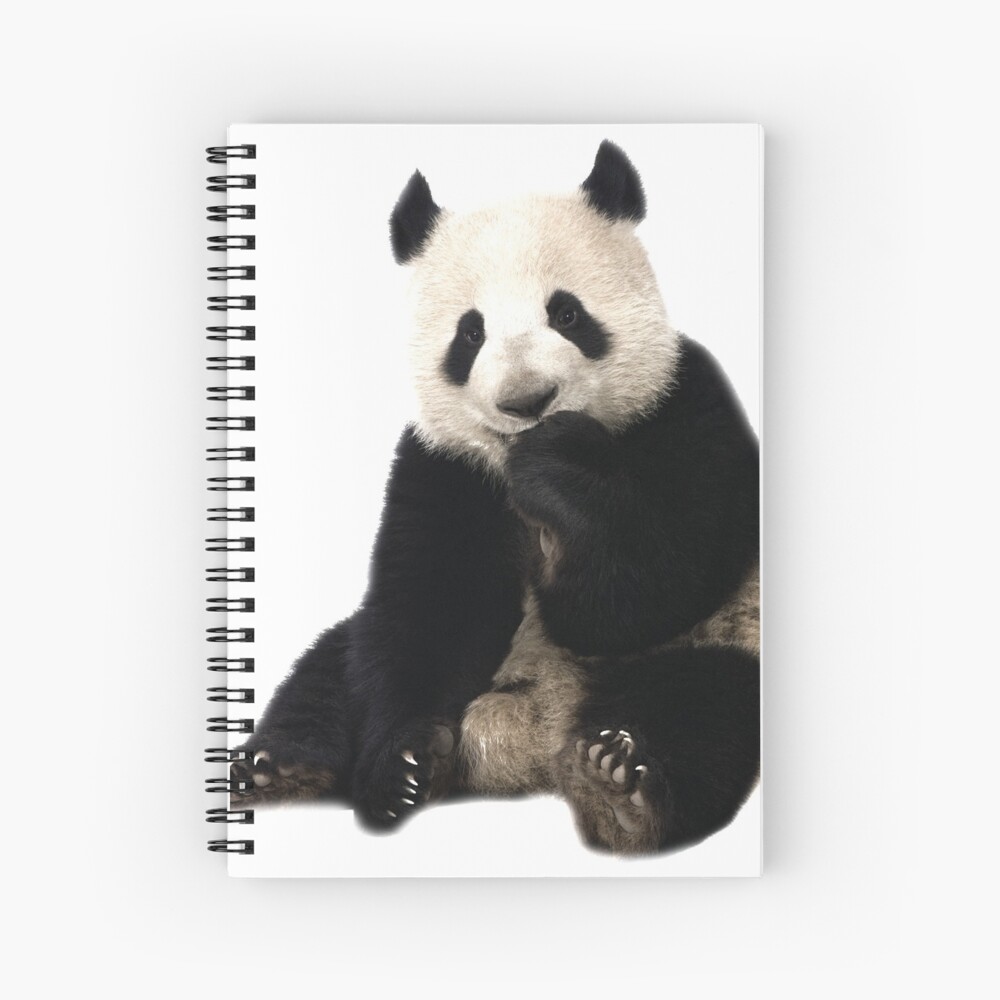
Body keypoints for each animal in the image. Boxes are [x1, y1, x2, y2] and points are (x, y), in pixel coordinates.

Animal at [232, 140, 760, 855]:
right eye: (470, 333)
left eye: (567, 314)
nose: (527, 402)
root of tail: (531, 745)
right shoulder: (443, 467)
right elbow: (429, 605)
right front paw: (401, 770)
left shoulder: (686, 410)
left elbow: (649, 586)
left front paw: (559, 468)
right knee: (330, 668)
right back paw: (281, 768)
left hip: (723, 640)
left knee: (705, 708)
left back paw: (620, 785)